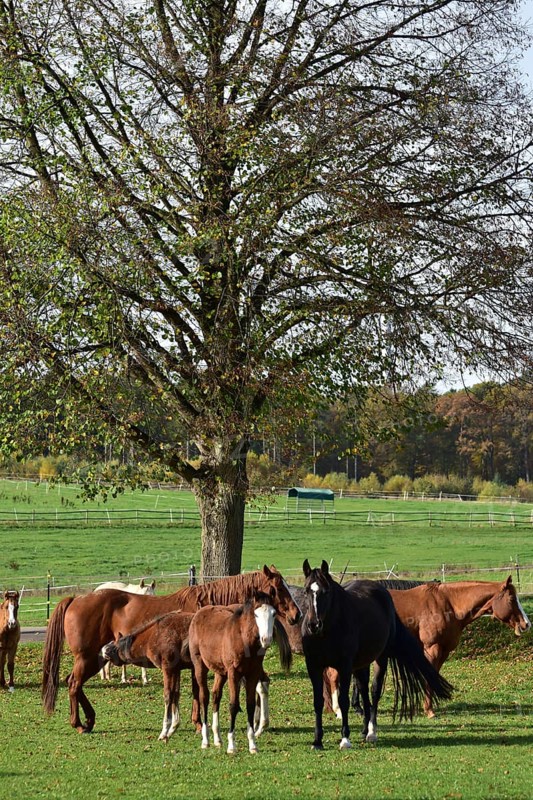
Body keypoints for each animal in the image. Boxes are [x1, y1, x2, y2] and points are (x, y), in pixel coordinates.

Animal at [100, 610, 195, 742]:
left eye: (116, 645)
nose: (104, 649)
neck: (154, 636)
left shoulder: (168, 668)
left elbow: (168, 696)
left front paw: (164, 731)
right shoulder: (176, 669)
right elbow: (176, 694)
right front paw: (173, 727)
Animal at [189, 592, 292, 754]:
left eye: (274, 613)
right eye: (256, 614)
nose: (266, 639)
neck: (244, 640)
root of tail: (199, 613)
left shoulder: (252, 673)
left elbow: (250, 704)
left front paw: (253, 744)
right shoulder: (234, 673)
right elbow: (233, 705)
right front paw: (232, 746)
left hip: (221, 672)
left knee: (216, 695)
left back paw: (217, 739)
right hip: (200, 665)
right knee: (204, 697)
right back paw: (205, 740)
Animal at [301, 560, 453, 750]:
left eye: (325, 591)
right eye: (306, 591)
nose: (313, 625)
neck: (327, 632)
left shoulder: (344, 666)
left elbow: (343, 701)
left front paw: (345, 739)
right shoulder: (313, 666)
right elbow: (318, 702)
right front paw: (317, 741)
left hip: (380, 659)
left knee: (374, 690)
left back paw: (371, 732)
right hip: (362, 663)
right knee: (363, 690)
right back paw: (364, 729)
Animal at [326, 576, 531, 719]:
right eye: (512, 599)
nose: (526, 624)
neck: (448, 604)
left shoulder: (443, 652)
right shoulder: (432, 649)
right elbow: (428, 677)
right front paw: (429, 710)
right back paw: (339, 710)